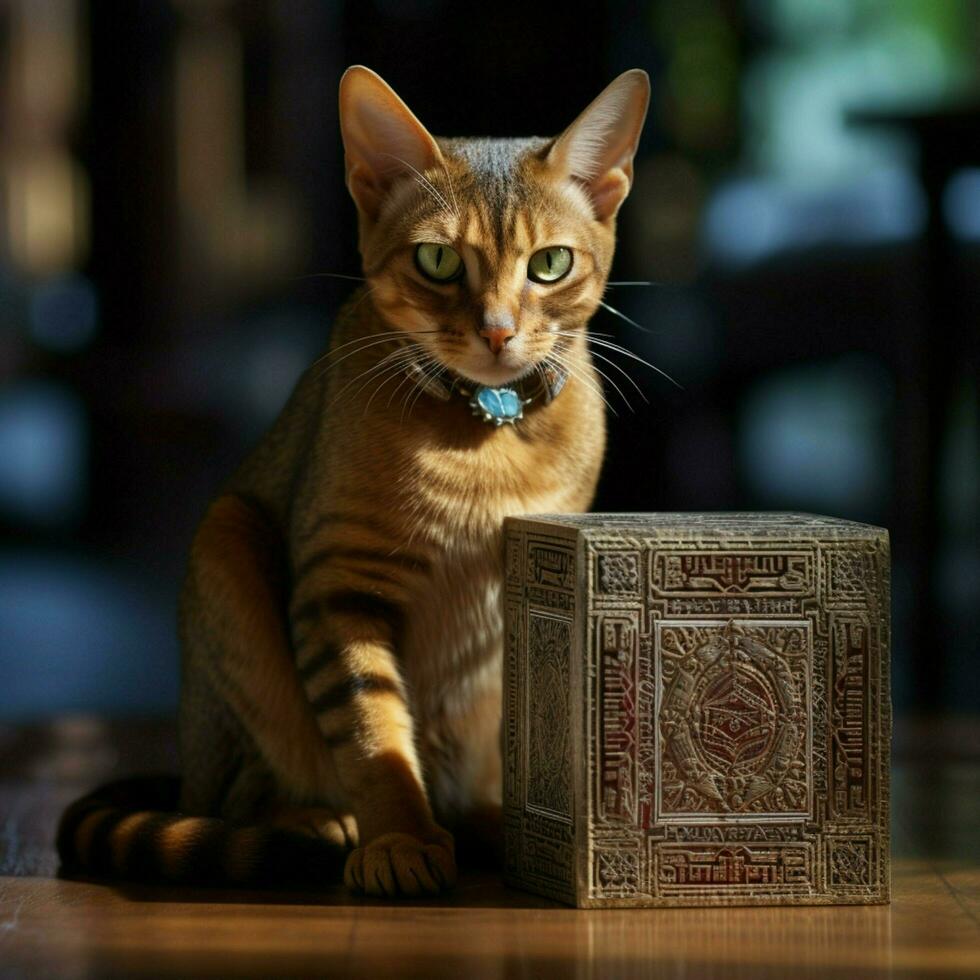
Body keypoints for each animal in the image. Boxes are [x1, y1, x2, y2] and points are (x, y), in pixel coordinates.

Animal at [57, 65, 648, 900]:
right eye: (438, 262)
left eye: (549, 265)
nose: (498, 330)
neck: (484, 436)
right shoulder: (338, 586)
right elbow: (374, 733)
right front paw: (399, 836)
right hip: (227, 544)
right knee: (240, 796)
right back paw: (319, 822)